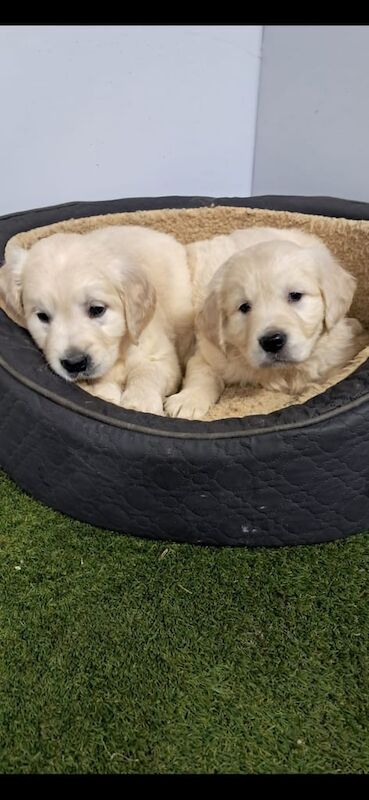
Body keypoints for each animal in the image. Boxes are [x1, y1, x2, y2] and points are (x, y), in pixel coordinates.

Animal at [0, 223, 194, 412]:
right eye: (42, 316)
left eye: (97, 309)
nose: (75, 363)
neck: (119, 354)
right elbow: (102, 382)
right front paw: (107, 394)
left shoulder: (162, 356)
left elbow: (147, 371)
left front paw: (140, 402)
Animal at [165, 225, 364, 418]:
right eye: (244, 307)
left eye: (295, 295)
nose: (272, 341)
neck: (283, 371)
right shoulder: (211, 352)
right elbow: (202, 373)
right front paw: (187, 401)